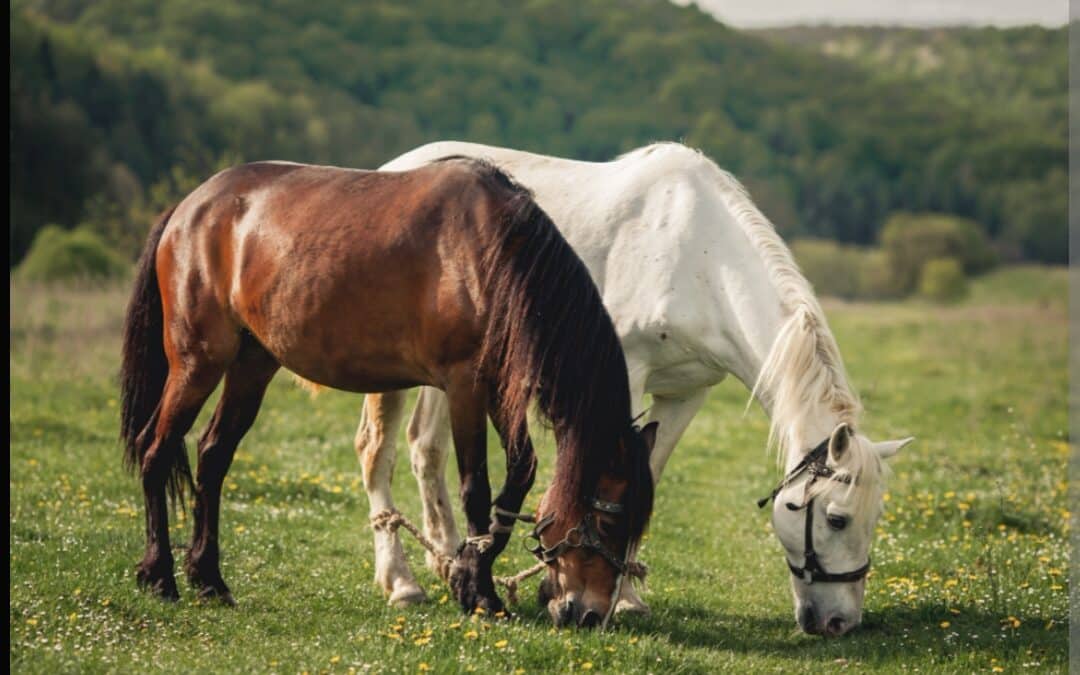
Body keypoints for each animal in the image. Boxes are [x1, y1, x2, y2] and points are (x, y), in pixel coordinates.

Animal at [118, 157, 657, 627]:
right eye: (609, 522)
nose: (590, 614)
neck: (493, 254)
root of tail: (189, 208)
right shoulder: (465, 386)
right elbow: (476, 489)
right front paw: (480, 592)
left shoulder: (500, 389)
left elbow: (519, 474)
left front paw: (468, 574)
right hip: (197, 363)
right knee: (156, 450)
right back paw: (160, 575)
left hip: (252, 366)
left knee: (212, 457)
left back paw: (209, 579)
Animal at [356, 142, 913, 636]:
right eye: (837, 519)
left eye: (876, 517)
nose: (840, 623)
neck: (702, 260)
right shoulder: (623, 376)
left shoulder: (687, 393)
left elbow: (649, 474)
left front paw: (623, 594)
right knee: (377, 451)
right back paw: (402, 582)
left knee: (426, 449)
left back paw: (450, 560)